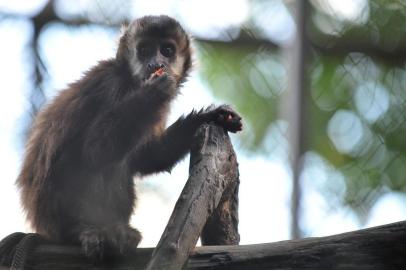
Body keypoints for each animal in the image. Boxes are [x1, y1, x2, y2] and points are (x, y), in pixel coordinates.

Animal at [16, 14, 241, 260]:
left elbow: (147, 158)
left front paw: (214, 116)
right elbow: (95, 150)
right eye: (144, 50)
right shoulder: (111, 84)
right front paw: (154, 91)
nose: (156, 64)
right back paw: (81, 231)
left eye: (167, 50)